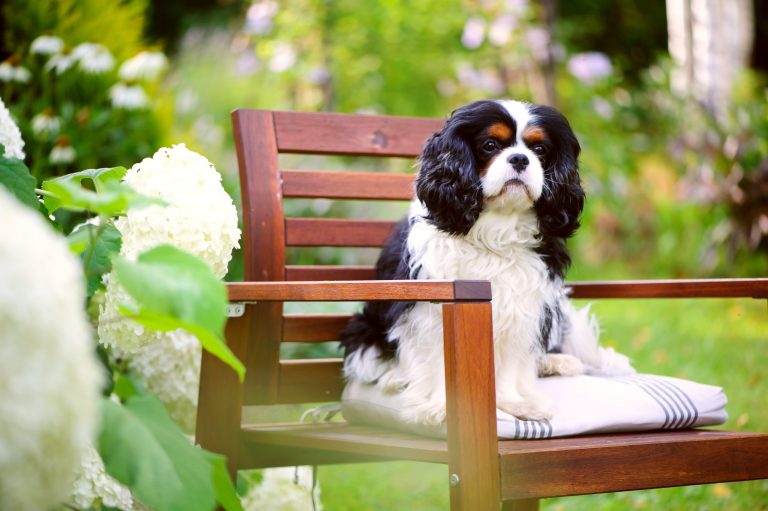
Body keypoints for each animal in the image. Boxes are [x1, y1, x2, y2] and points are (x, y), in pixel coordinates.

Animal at [340, 98, 632, 426]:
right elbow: (438, 360)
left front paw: (514, 403)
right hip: (363, 326)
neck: (496, 228)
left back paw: (555, 362)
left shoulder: (520, 305)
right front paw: (442, 407)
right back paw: (395, 377)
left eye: (539, 149)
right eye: (490, 145)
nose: (520, 159)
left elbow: (509, 365)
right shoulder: (430, 309)